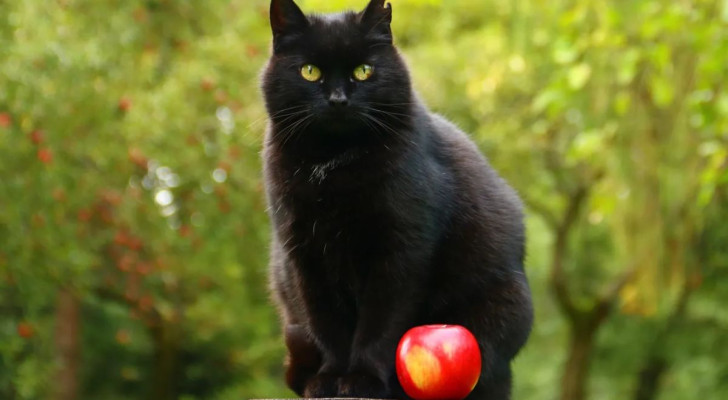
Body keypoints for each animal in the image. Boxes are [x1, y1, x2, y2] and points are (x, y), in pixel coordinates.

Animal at [260, 1, 528, 398]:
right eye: (310, 71)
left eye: (364, 70)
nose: (338, 99)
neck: (333, 162)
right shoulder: (305, 256)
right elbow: (327, 323)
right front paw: (331, 378)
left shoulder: (401, 248)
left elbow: (380, 322)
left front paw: (362, 379)